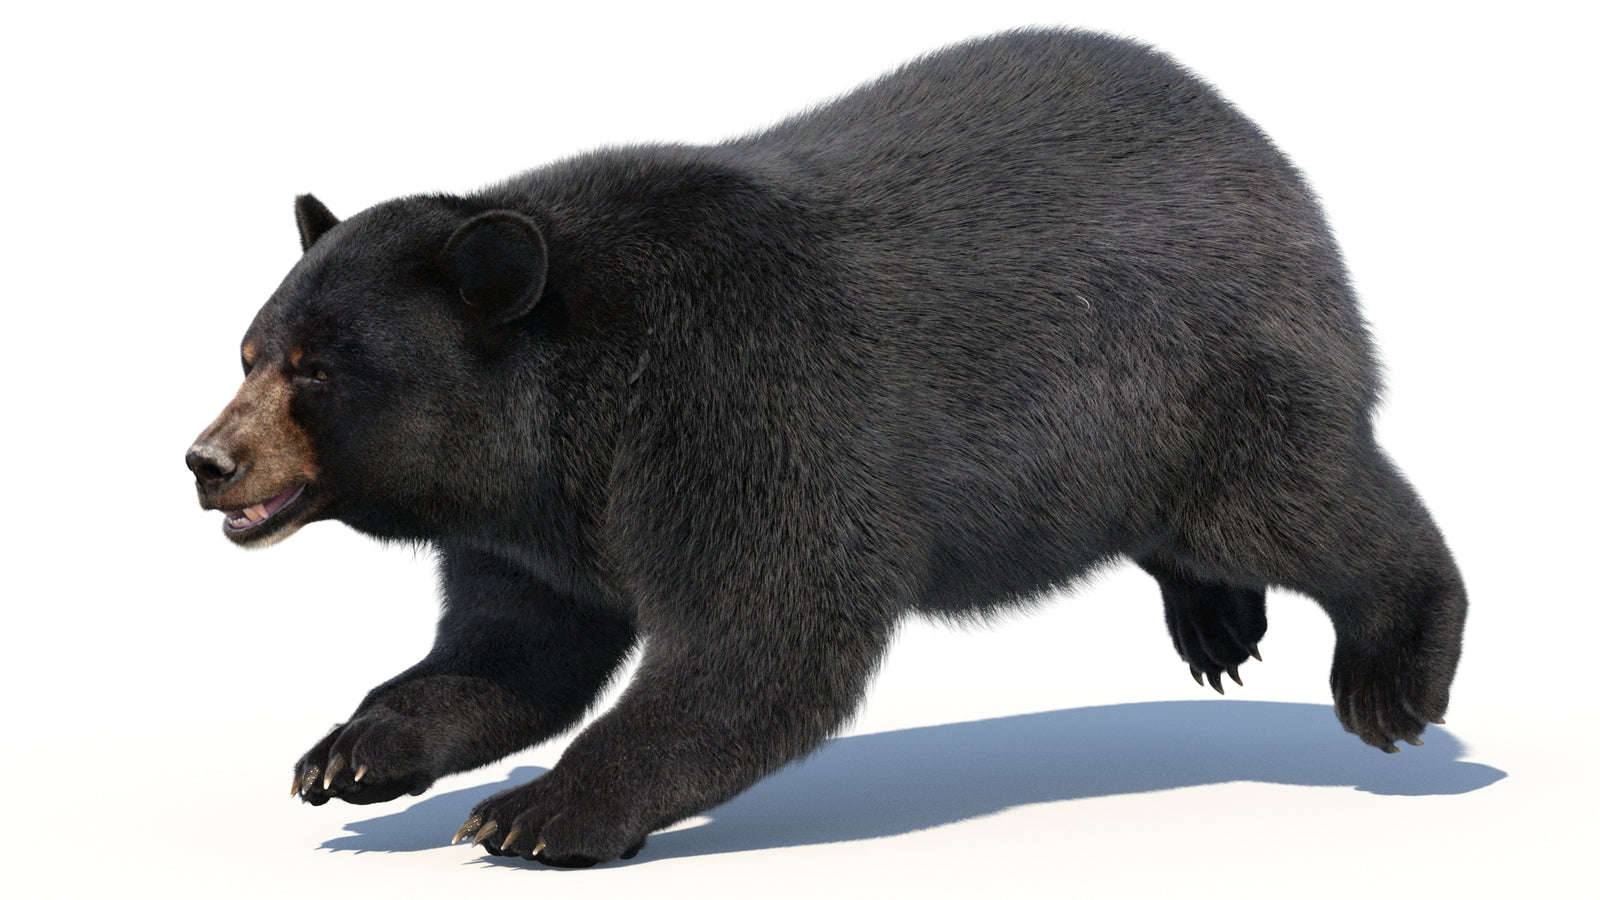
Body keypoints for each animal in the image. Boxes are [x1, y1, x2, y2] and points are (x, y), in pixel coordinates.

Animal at [186, 28, 1466, 867]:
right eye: (249, 349)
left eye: (316, 369)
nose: (206, 462)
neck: (570, 415)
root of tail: (1266, 156)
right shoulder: (533, 519)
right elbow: (516, 647)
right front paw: (353, 750)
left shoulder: (741, 402)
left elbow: (770, 627)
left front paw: (543, 811)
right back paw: (1215, 624)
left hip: (1196, 373)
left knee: (1301, 501)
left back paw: (1393, 674)